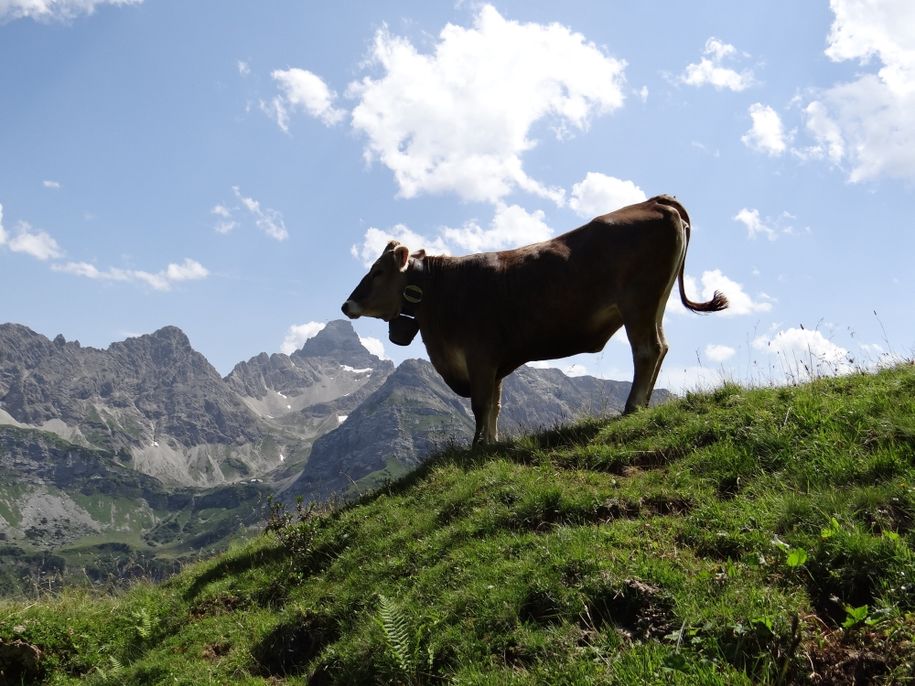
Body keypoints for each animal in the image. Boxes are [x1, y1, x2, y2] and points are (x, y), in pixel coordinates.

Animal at [344, 196, 728, 448]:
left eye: (377, 272)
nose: (347, 304)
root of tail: (654, 201)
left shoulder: (480, 355)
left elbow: (481, 405)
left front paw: (476, 447)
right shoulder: (493, 362)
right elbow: (495, 405)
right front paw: (491, 443)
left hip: (638, 302)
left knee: (647, 350)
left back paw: (632, 406)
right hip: (653, 305)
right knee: (660, 347)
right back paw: (643, 405)